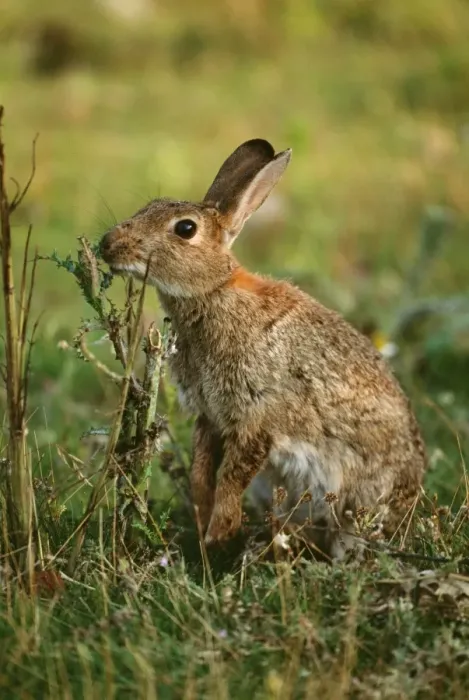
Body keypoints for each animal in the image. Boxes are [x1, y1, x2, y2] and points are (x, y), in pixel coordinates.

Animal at [100, 138, 427, 559]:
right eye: (150, 204)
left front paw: (218, 532)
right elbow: (202, 469)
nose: (108, 244)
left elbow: (234, 473)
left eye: (185, 228)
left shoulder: (258, 419)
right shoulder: (209, 417)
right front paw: (205, 518)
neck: (214, 291)